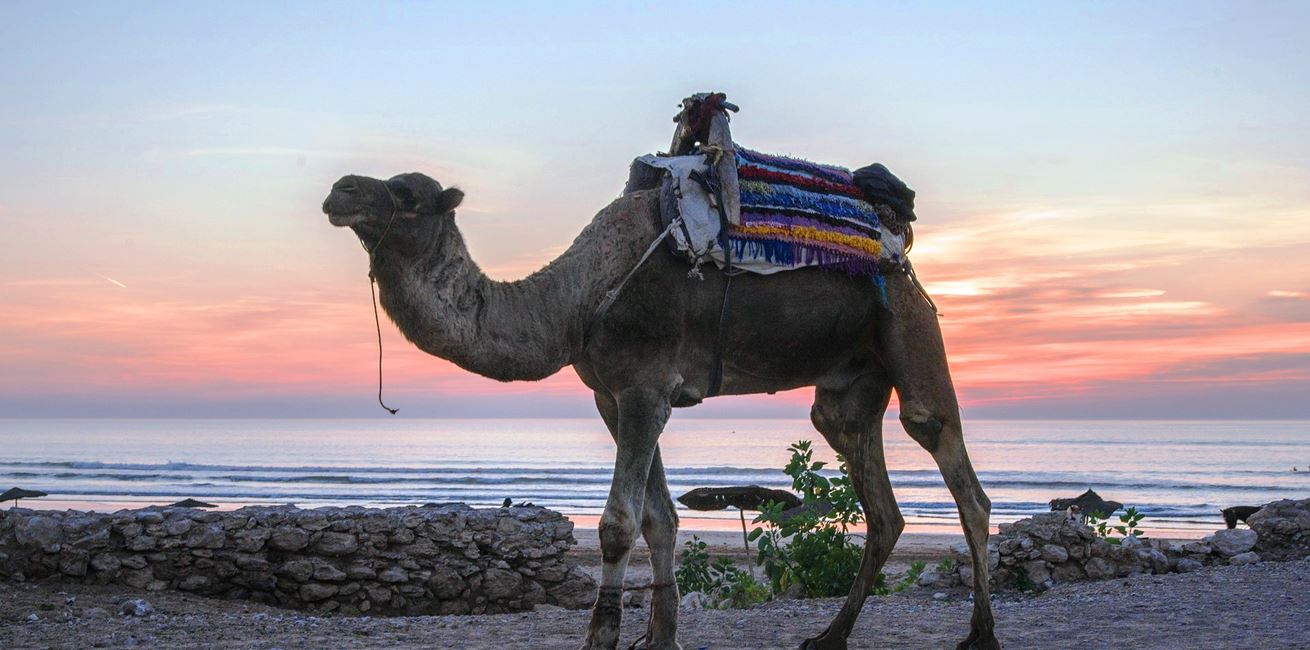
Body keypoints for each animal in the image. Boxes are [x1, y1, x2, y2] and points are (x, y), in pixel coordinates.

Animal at [321, 142, 998, 649]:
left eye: (407, 194)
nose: (340, 190)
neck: (577, 299)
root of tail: (898, 244)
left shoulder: (646, 389)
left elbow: (619, 525)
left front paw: (601, 636)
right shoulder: (613, 395)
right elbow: (660, 520)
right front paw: (663, 637)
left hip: (908, 324)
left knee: (951, 459)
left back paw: (981, 634)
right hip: (849, 385)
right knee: (877, 497)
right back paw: (829, 637)